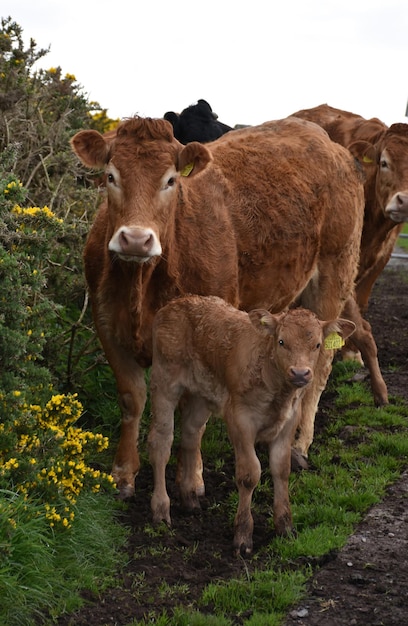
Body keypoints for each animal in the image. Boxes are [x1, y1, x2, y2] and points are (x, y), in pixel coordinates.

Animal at [69, 116, 364, 498]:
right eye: (110, 176)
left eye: (171, 180)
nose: (135, 239)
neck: (143, 287)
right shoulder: (108, 325)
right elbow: (131, 399)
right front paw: (123, 473)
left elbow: (194, 413)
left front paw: (191, 478)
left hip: (334, 275)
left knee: (321, 366)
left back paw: (299, 445)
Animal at [148, 294, 356, 552]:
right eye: (281, 341)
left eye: (317, 344)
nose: (300, 373)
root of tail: (179, 301)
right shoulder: (240, 420)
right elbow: (249, 474)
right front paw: (243, 535)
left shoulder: (289, 421)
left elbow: (281, 469)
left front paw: (285, 527)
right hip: (164, 382)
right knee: (161, 442)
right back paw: (160, 510)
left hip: (203, 393)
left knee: (191, 434)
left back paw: (189, 498)